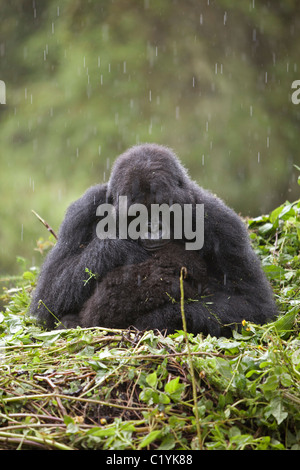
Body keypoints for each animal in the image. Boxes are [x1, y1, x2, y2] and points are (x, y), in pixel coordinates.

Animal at [29, 141, 278, 336]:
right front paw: (117, 247)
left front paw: (159, 319)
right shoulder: (82, 211)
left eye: (162, 209)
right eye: (137, 213)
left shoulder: (221, 222)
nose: (152, 228)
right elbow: (46, 299)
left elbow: (253, 304)